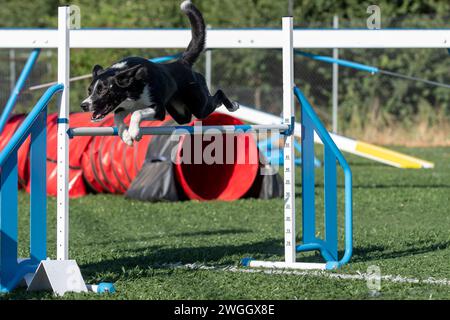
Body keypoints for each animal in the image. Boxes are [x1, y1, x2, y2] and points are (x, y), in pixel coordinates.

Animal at [80, 0, 239, 146]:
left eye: (103, 90)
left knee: (217, 94)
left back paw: (233, 105)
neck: (132, 85)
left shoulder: (158, 110)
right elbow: (117, 119)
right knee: (189, 116)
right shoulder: (122, 107)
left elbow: (137, 113)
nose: (84, 105)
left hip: (199, 105)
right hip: (181, 113)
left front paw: (134, 133)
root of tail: (182, 62)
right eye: (89, 90)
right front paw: (126, 137)